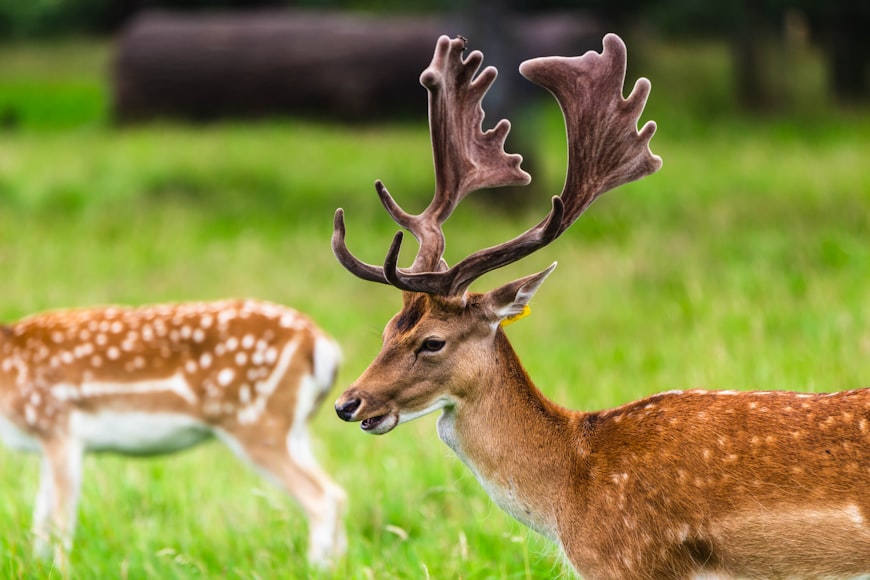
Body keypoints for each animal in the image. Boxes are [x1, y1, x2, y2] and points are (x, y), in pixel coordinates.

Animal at [0, 300, 348, 568]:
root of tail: (323, 345)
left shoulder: (57, 424)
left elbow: (60, 522)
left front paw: (59, 570)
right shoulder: (46, 441)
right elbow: (40, 517)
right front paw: (36, 566)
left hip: (255, 421)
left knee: (320, 496)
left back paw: (315, 568)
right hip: (293, 428)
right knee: (336, 492)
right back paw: (338, 565)